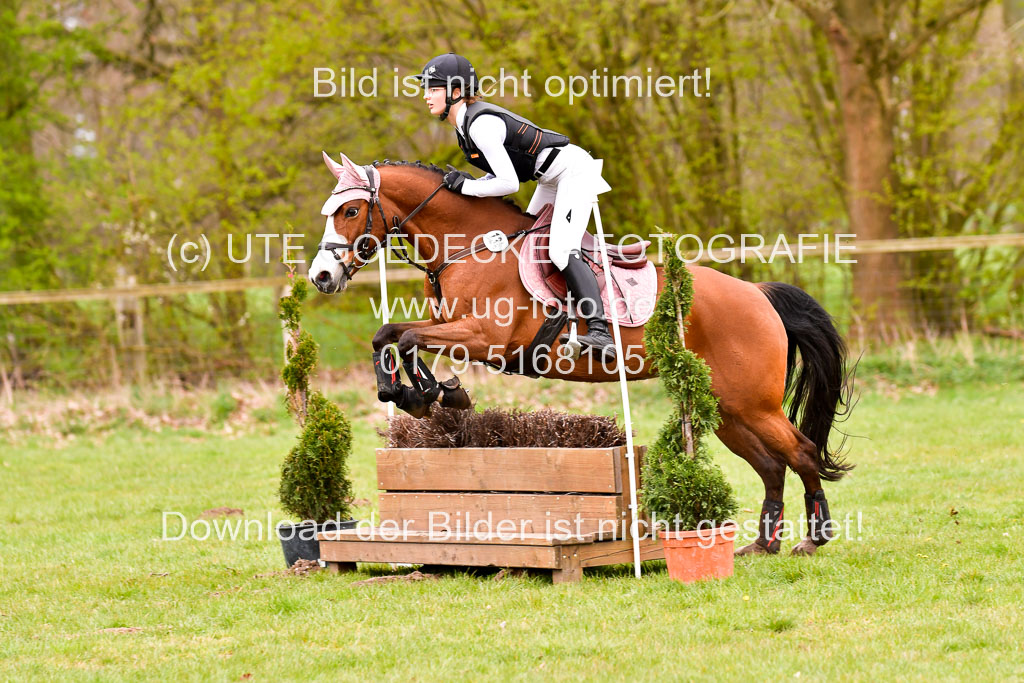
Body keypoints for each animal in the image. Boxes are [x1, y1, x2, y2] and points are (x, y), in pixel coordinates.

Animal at [311, 152, 856, 557]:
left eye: (351, 212)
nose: (321, 276)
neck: (473, 247)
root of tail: (759, 294)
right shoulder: (450, 328)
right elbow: (389, 334)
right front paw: (423, 394)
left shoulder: (485, 337)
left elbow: (405, 340)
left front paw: (430, 394)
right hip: (725, 407)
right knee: (771, 465)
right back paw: (762, 546)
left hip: (752, 404)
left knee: (802, 452)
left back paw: (814, 539)